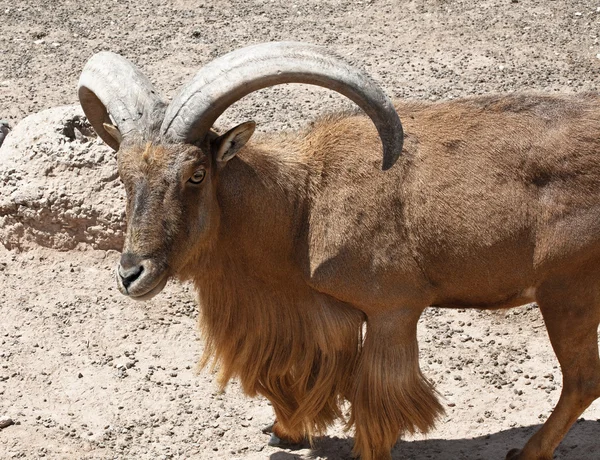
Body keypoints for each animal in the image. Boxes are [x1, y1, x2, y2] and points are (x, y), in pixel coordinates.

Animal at [77, 41, 600, 458]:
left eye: (196, 174)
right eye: (123, 175)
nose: (132, 274)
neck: (303, 207)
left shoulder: (393, 310)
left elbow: (377, 402)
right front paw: (285, 431)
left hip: (568, 292)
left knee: (582, 380)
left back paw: (527, 452)